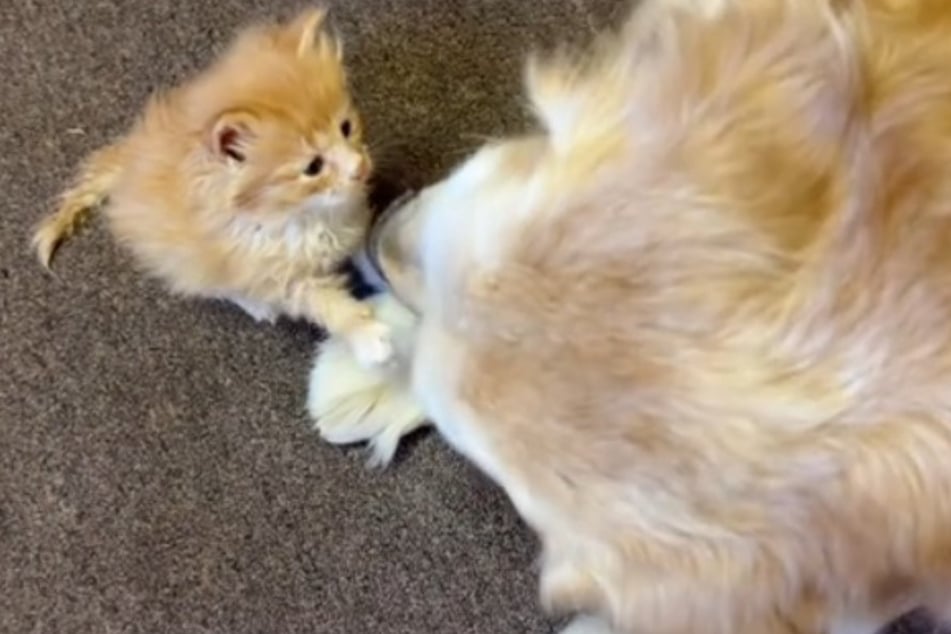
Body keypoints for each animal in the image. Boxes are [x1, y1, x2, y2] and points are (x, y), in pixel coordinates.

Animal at [33, 7, 390, 366]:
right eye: (313, 167)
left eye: (346, 128)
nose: (360, 167)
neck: (302, 213)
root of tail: (130, 156)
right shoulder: (273, 273)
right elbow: (324, 303)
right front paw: (366, 334)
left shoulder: (349, 218)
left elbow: (362, 244)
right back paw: (255, 304)